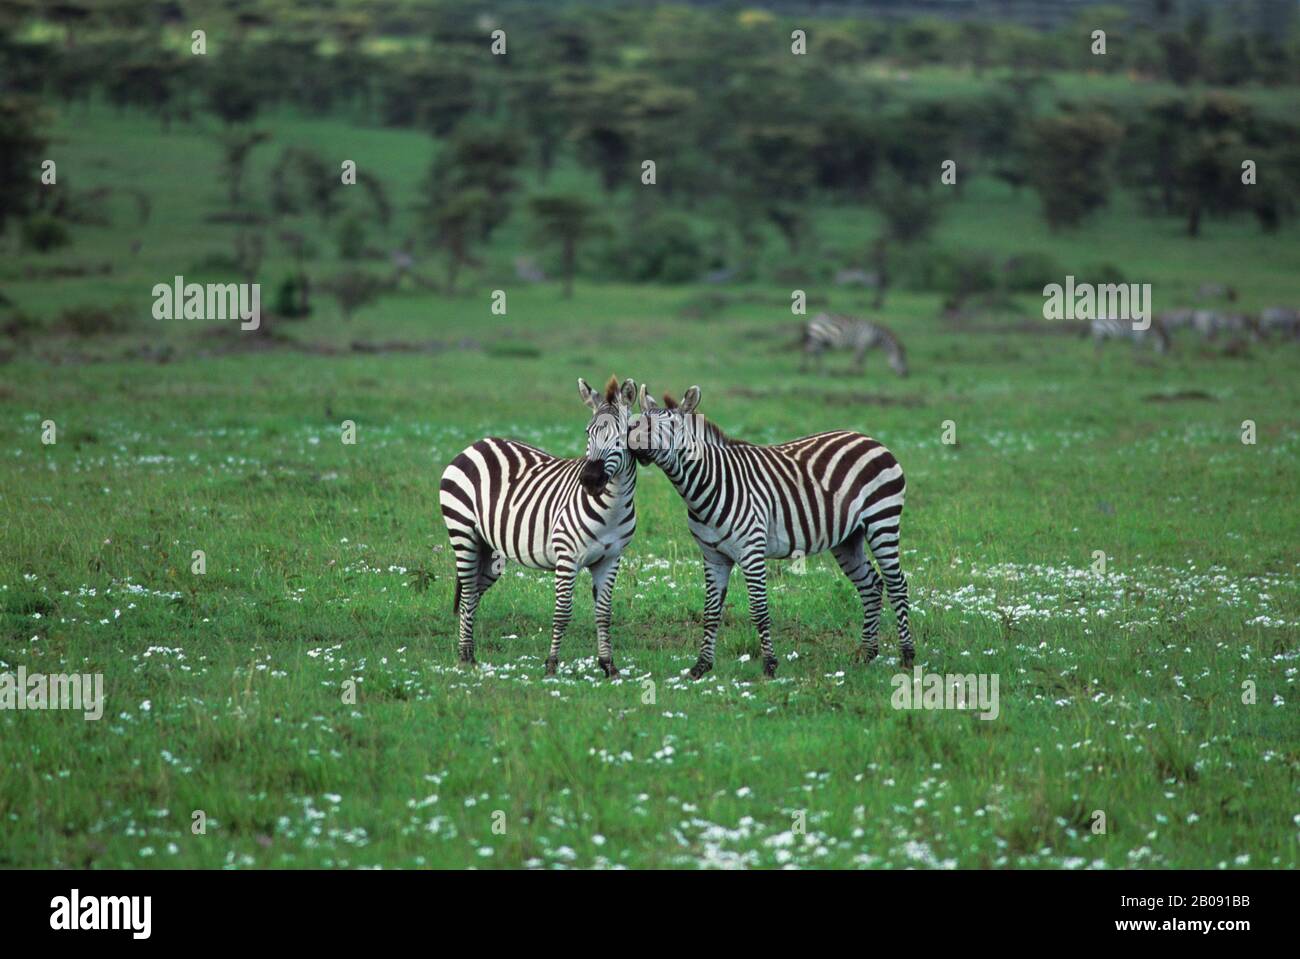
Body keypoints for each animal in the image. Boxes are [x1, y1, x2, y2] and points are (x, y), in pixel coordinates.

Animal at [436, 376, 639, 675]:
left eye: (622, 436)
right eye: (587, 433)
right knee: (467, 591)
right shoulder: (567, 556)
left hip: (490, 550)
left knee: (471, 595)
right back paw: (463, 655)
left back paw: (470, 655)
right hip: (462, 532)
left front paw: (608, 666)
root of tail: (477, 444)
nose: (589, 480)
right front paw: (552, 664)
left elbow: (604, 613)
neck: (612, 507)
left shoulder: (610, 559)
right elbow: (563, 612)